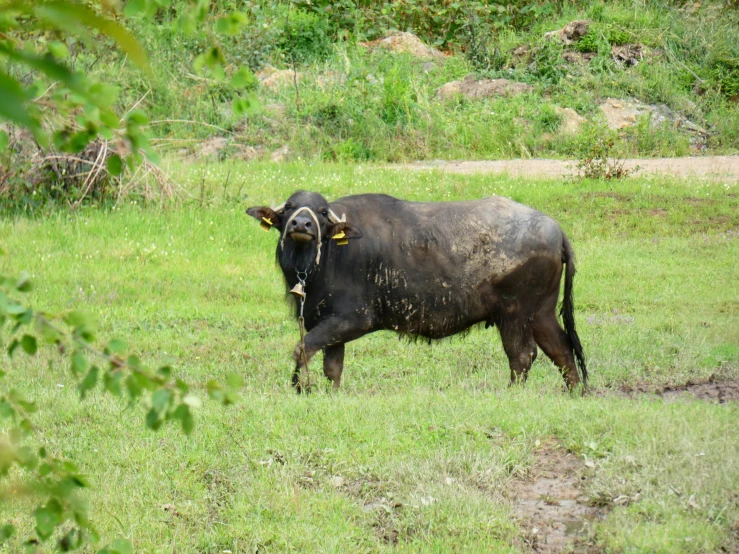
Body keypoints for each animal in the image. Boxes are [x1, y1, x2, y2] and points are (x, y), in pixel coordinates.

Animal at [249, 192, 588, 390]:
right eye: (290, 207)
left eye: (321, 211)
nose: (301, 225)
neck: (325, 260)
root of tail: (556, 230)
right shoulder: (330, 324)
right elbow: (332, 367)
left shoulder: (352, 319)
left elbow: (302, 349)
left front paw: (300, 386)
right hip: (540, 312)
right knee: (562, 348)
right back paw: (574, 392)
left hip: (514, 314)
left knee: (522, 355)